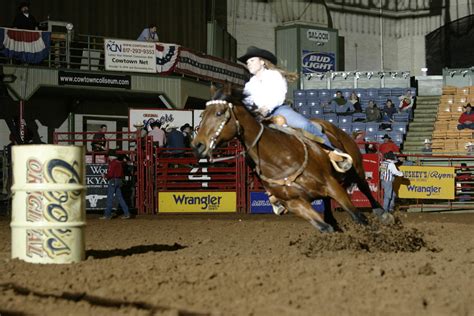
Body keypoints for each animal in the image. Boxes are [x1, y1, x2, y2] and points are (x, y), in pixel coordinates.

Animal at [191, 86, 394, 232]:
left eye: (219, 113)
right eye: (202, 114)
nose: (197, 145)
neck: (279, 159)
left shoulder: (331, 185)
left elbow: (357, 216)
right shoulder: (295, 203)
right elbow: (324, 228)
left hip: (356, 167)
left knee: (364, 187)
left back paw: (383, 213)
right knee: (327, 206)